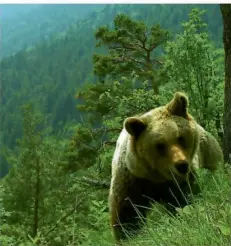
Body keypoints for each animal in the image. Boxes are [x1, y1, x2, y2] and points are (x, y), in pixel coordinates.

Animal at [109, 91, 223, 243]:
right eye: (160, 145)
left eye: (180, 137)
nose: (181, 165)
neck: (156, 176)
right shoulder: (131, 180)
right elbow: (127, 213)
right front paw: (128, 236)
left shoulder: (180, 181)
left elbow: (184, 201)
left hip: (207, 151)